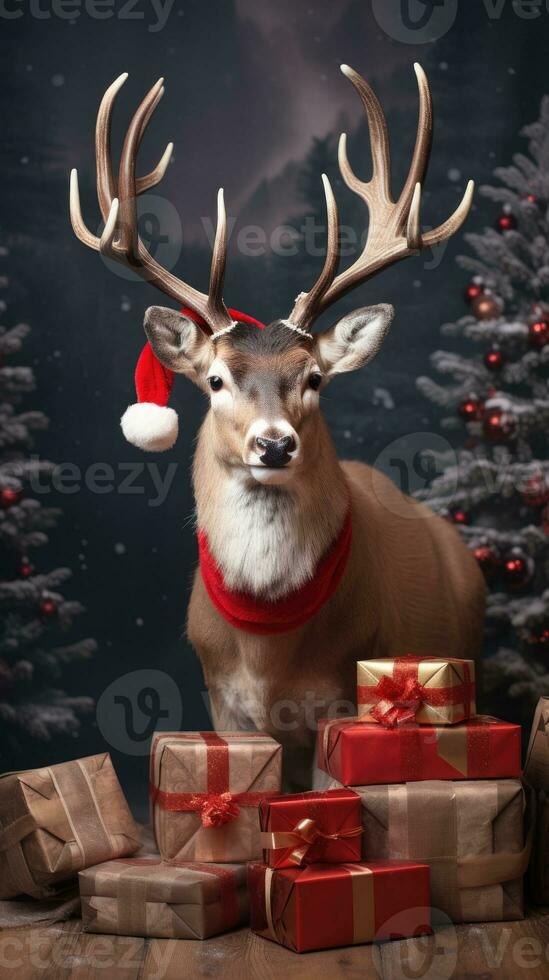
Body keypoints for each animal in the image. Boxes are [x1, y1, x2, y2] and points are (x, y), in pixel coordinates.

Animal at [69, 65, 484, 788]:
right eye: (214, 381)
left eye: (314, 378)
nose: (273, 443)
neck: (267, 649)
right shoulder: (220, 696)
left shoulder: (341, 696)